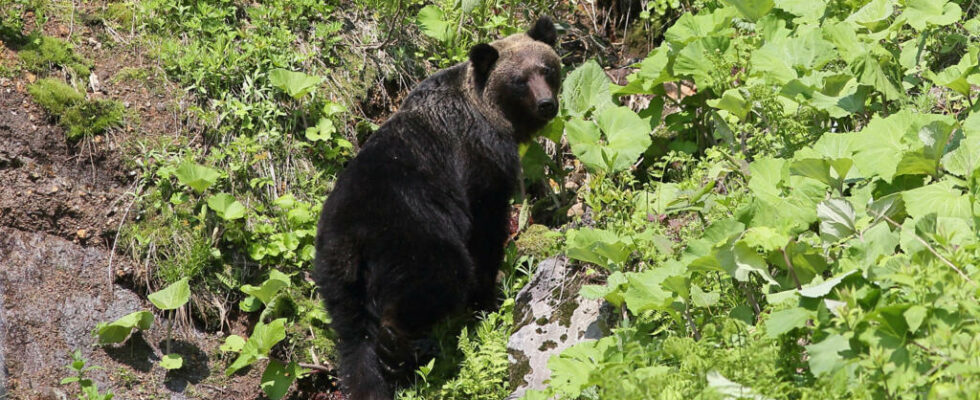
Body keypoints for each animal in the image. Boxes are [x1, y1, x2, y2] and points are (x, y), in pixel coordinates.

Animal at [312, 15, 560, 400]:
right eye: (520, 80)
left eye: (547, 69)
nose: (547, 103)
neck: (493, 115)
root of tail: (352, 238)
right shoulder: (479, 164)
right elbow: (486, 232)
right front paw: (487, 298)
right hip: (412, 236)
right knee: (437, 279)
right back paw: (401, 348)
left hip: (336, 276)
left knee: (353, 341)